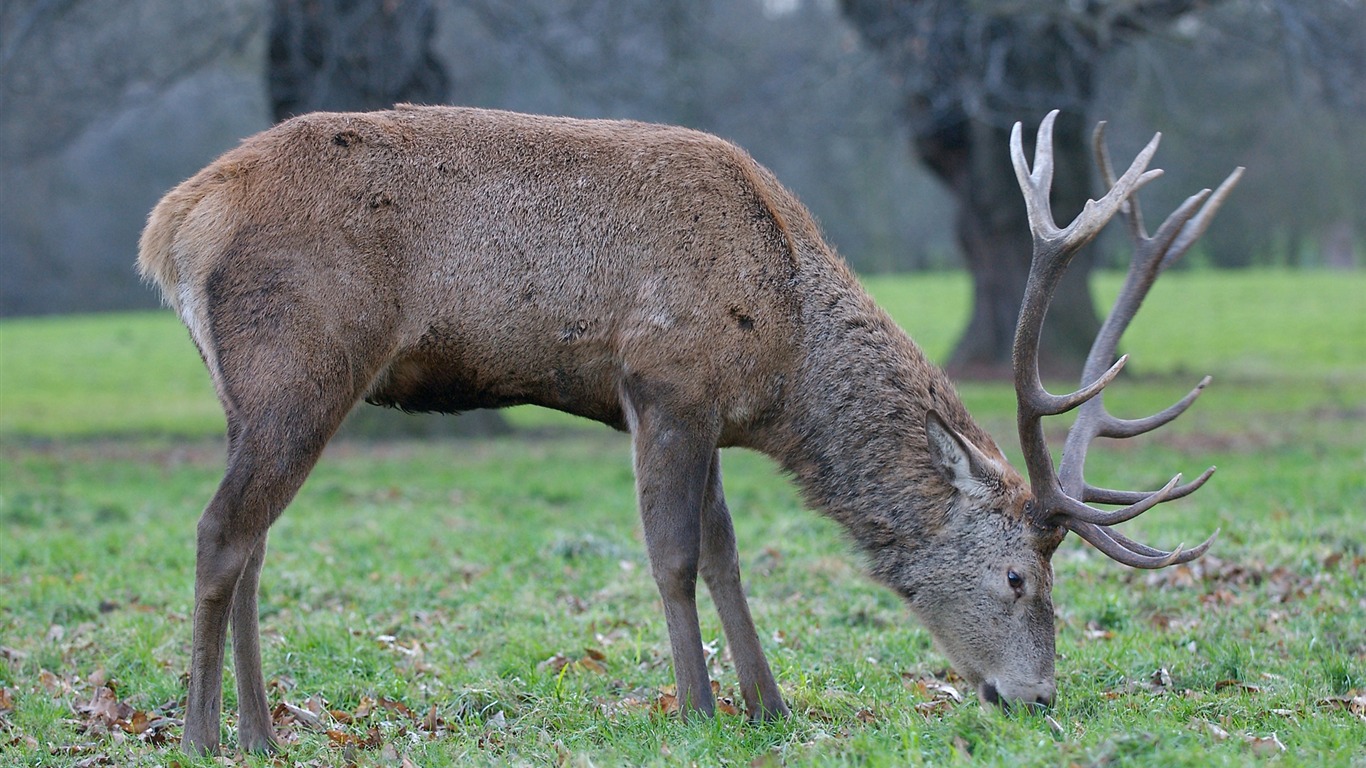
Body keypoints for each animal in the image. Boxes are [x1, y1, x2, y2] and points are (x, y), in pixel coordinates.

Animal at [138, 103, 1240, 754]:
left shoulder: (711, 410)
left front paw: (770, 704)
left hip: (252, 392)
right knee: (219, 532)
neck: (783, 347)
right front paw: (702, 711)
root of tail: (173, 224)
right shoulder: (662, 381)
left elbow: (723, 553)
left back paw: (261, 732)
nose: (1037, 696)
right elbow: (670, 556)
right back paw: (201, 735)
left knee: (254, 542)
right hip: (300, 362)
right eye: (1018, 578)